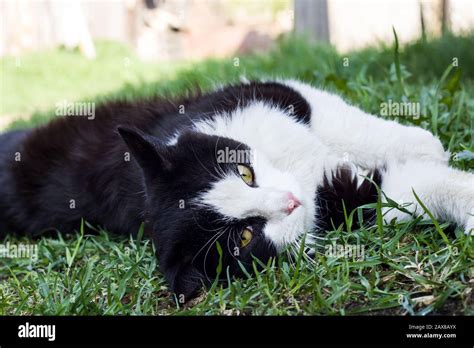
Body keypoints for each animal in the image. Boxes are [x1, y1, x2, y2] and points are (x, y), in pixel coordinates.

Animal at [0, 79, 472, 300]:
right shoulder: (345, 201)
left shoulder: (259, 96)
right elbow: (399, 191)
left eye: (244, 173)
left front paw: (424, 143)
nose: (291, 201)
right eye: (244, 237)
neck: (300, 174)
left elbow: (336, 117)